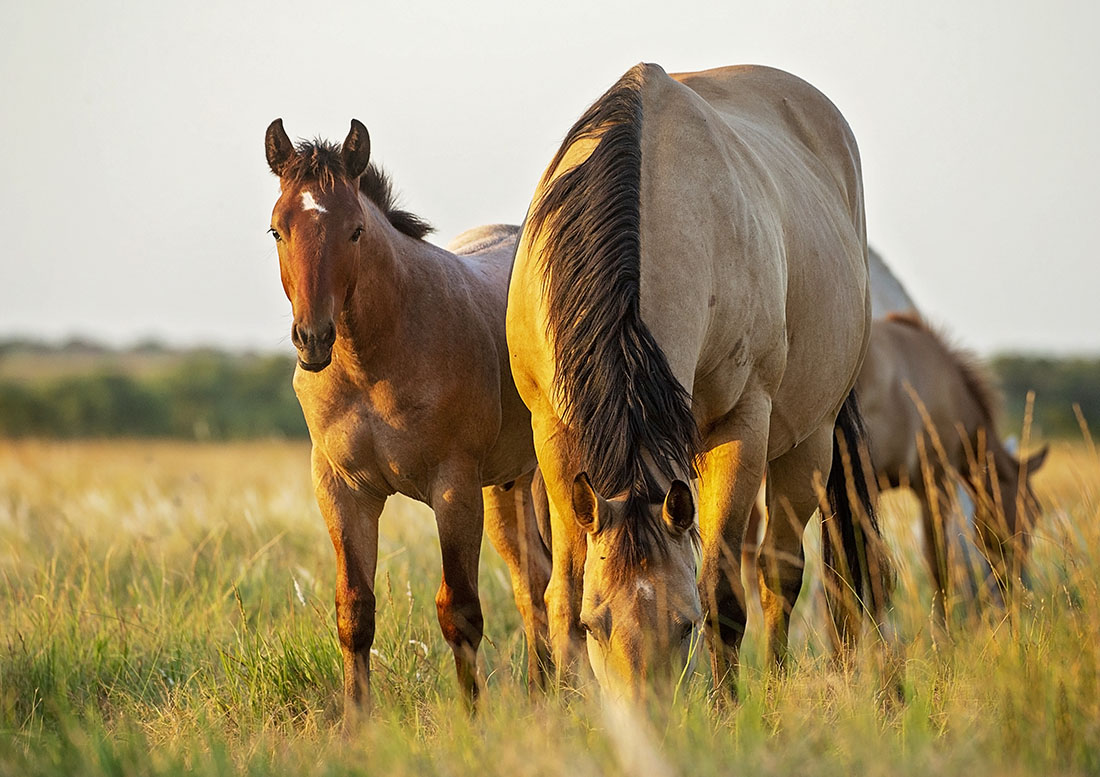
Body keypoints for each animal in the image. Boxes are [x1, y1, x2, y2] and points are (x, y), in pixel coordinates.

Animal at [258, 122, 550, 713]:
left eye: (355, 231)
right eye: (278, 230)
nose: (313, 339)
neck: (375, 360)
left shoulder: (453, 489)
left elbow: (459, 611)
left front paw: (472, 719)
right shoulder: (343, 490)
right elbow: (354, 611)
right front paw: (357, 721)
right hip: (509, 486)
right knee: (535, 584)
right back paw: (546, 700)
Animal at [506, 64, 893, 695]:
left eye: (684, 625)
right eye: (595, 625)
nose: (642, 711)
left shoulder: (740, 426)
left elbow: (722, 593)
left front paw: (728, 706)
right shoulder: (555, 435)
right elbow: (562, 591)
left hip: (808, 446)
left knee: (780, 575)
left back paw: (778, 687)